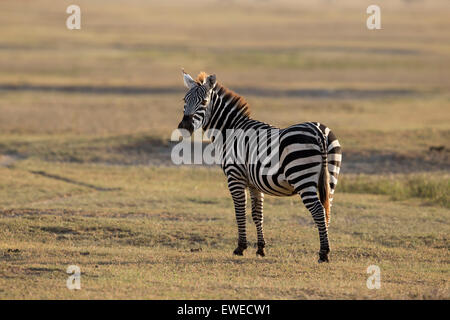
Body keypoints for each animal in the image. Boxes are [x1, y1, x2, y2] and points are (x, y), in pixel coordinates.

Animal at [176, 70, 342, 262]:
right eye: (185, 100)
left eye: (203, 102)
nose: (184, 127)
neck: (230, 130)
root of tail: (319, 131)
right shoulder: (254, 182)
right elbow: (257, 214)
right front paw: (261, 248)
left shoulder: (235, 177)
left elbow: (239, 211)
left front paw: (240, 247)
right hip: (331, 178)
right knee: (327, 209)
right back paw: (326, 248)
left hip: (302, 177)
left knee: (318, 210)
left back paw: (323, 253)